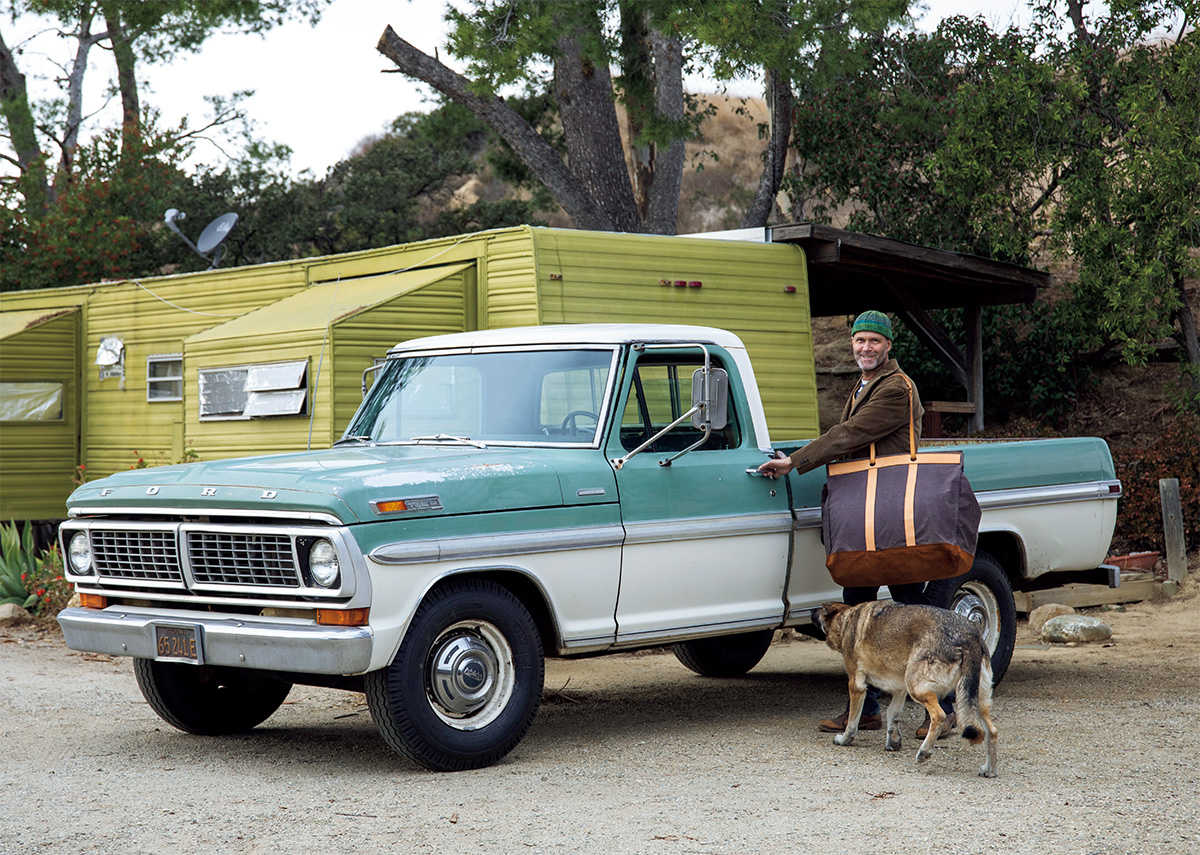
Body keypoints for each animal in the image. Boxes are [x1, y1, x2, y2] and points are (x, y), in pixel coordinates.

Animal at [816, 600, 1003, 773]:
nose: (812, 611)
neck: (847, 619)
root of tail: (970, 635)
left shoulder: (856, 685)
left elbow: (852, 722)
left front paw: (844, 740)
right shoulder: (900, 689)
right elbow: (893, 714)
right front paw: (893, 742)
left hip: (917, 688)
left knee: (940, 716)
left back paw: (924, 752)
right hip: (977, 700)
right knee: (992, 731)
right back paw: (989, 769)